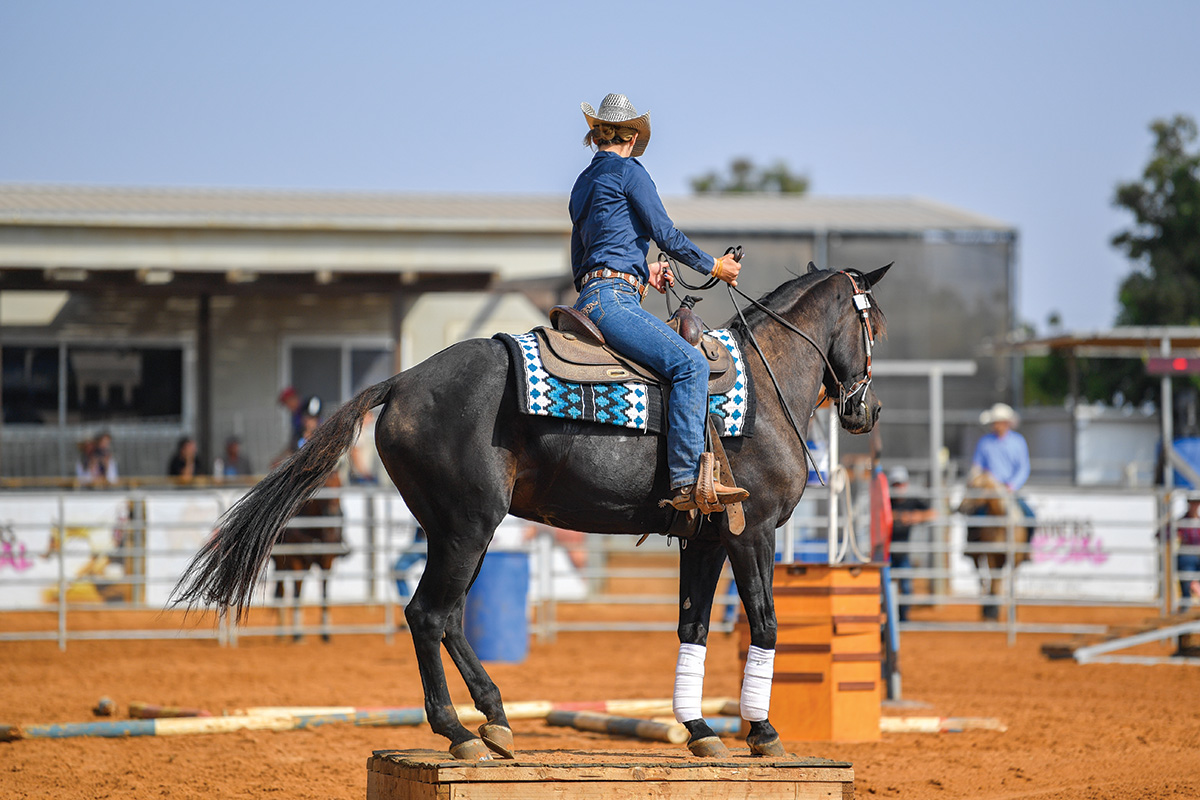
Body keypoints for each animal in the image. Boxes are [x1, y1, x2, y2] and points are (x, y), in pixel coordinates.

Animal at [272, 472, 348, 642]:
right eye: (325, 485)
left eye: (340, 485)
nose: (333, 512)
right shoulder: (296, 561)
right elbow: (297, 593)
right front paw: (297, 633)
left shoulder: (327, 562)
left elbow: (325, 594)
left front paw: (325, 633)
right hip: (281, 562)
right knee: (280, 592)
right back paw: (280, 632)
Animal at [955, 470, 1032, 618]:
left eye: (977, 488)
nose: (960, 508)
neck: (1002, 526)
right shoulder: (992, 555)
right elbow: (994, 579)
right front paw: (991, 609)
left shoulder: (1016, 557)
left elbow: (1010, 580)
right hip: (978, 557)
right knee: (983, 579)